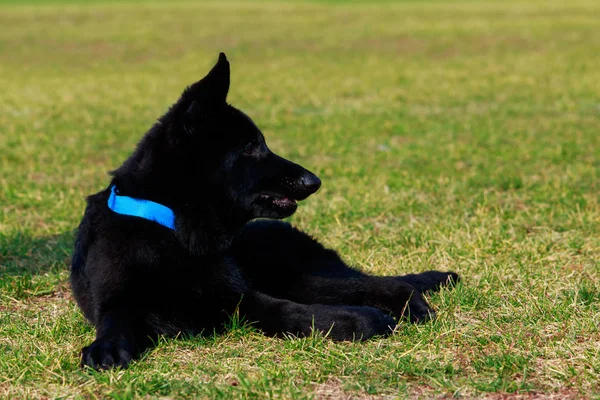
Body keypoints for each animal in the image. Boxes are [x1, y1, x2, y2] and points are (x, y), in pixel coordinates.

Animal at [70, 53, 458, 368]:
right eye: (250, 147)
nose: (314, 181)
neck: (176, 231)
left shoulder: (243, 299)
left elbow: (293, 313)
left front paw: (360, 321)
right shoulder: (118, 302)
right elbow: (116, 322)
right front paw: (106, 348)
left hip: (299, 276)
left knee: (385, 283)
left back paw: (411, 304)